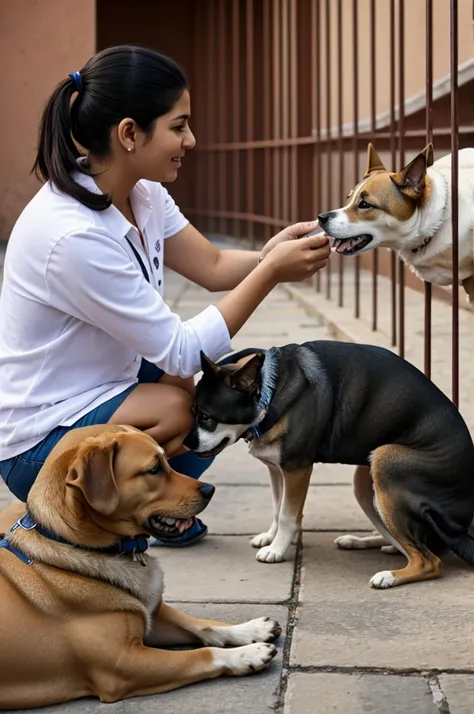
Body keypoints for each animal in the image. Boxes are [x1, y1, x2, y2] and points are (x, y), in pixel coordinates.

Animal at [0, 422, 280, 708]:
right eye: (154, 469)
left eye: (166, 461)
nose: (210, 490)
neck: (70, 541)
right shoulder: (124, 664)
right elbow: (202, 653)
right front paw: (248, 655)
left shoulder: (152, 620)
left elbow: (203, 625)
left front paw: (252, 629)